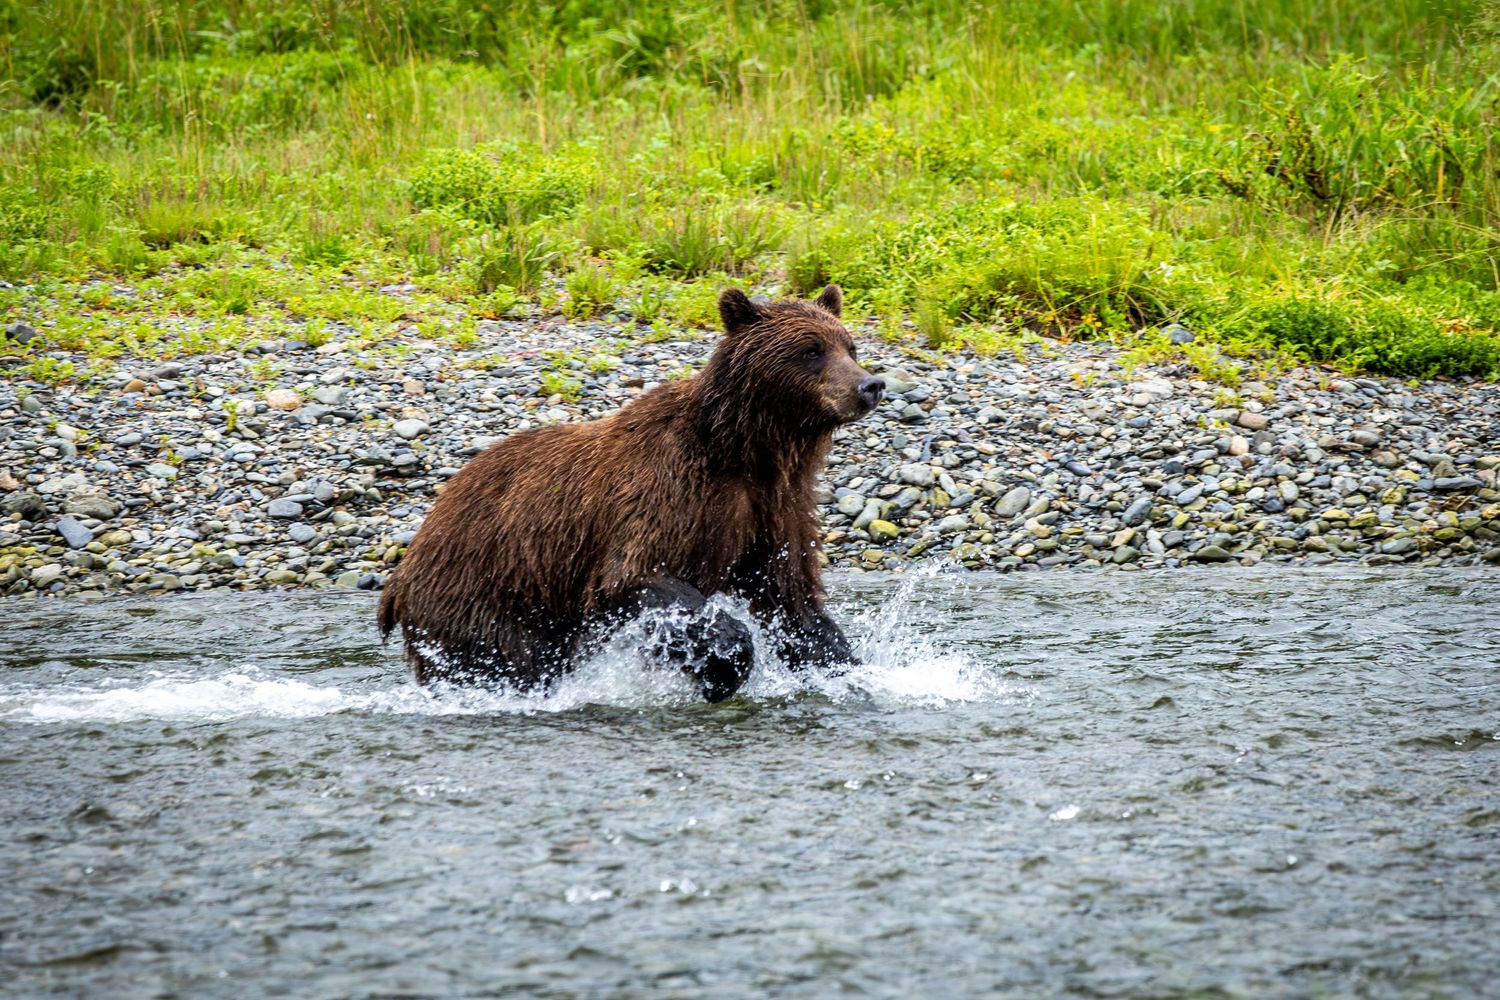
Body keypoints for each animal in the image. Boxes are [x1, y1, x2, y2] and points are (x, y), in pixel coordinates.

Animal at [376, 284, 884, 701]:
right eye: (811, 349)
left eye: (850, 345)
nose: (870, 384)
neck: (744, 451)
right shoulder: (668, 490)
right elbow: (636, 576)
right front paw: (724, 667)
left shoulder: (776, 509)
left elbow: (793, 601)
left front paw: (850, 669)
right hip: (486, 591)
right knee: (509, 661)